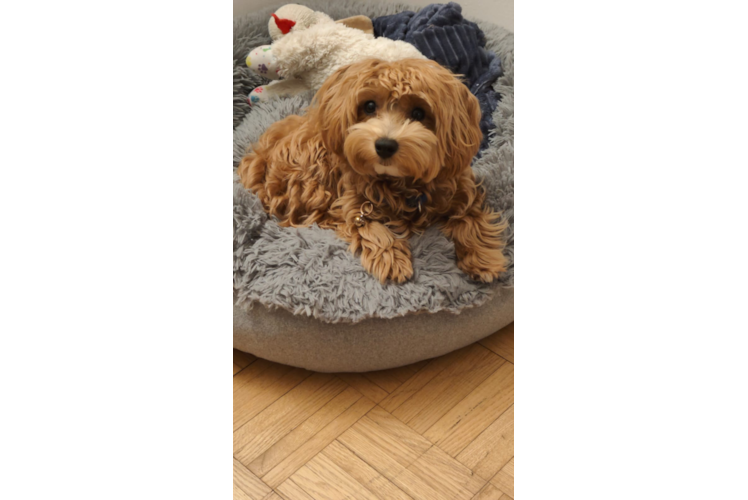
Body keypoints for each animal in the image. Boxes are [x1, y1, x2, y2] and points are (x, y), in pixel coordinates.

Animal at [240, 57, 508, 286]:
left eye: (419, 113)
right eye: (369, 106)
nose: (385, 145)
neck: (401, 181)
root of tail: (257, 157)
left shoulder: (461, 190)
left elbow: (471, 219)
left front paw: (483, 258)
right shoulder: (354, 202)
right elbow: (367, 226)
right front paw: (391, 258)